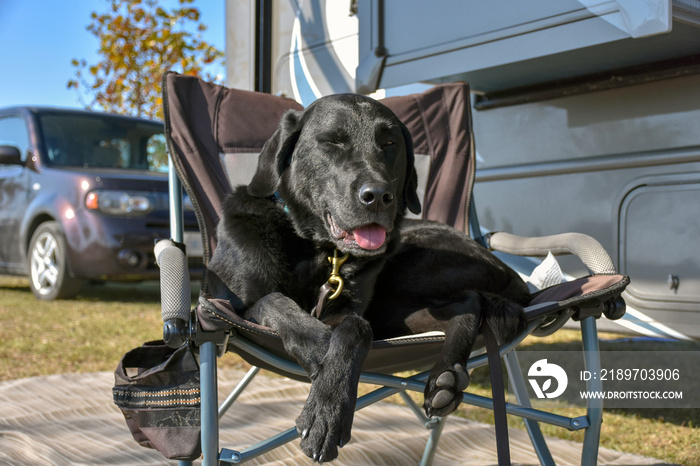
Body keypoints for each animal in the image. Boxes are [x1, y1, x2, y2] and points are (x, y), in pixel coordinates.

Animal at [208, 93, 532, 462]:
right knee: (463, 305)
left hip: (403, 276)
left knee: (469, 302)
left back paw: (446, 377)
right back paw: (447, 376)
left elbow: (356, 329)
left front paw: (326, 413)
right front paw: (318, 345)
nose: (377, 195)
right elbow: (274, 301)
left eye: (390, 144)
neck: (320, 251)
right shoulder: (231, 304)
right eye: (332, 142)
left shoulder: (347, 313)